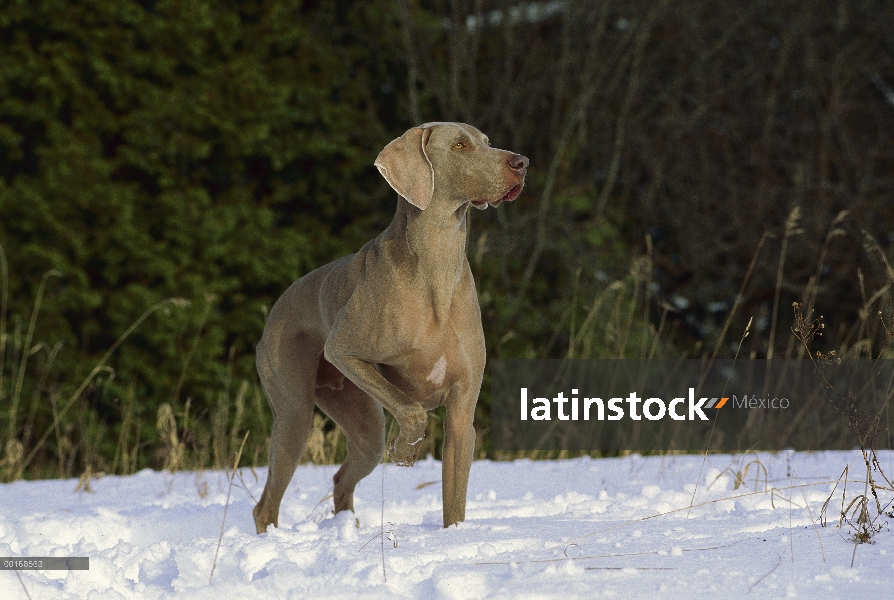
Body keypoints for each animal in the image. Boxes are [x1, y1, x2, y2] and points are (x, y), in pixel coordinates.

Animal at [252, 120, 528, 528]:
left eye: (486, 142)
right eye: (459, 146)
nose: (522, 162)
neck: (437, 265)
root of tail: (276, 308)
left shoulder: (462, 414)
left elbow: (455, 503)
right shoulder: (343, 351)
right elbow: (412, 410)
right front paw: (406, 450)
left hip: (362, 422)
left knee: (342, 477)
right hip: (296, 408)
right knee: (267, 502)